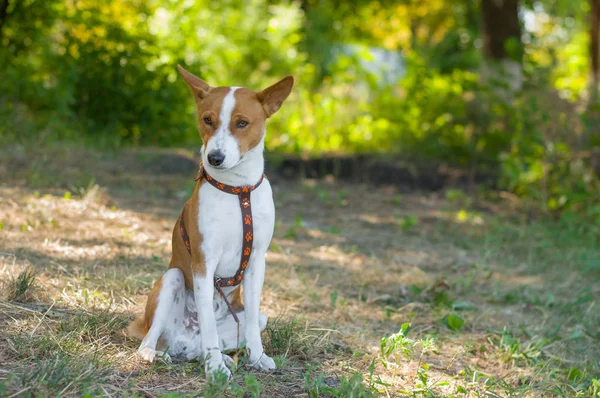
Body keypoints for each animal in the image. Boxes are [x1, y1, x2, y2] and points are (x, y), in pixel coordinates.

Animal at [128, 66, 292, 380]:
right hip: (171, 280)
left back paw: (223, 357)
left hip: (255, 316)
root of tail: (184, 340)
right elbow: (209, 328)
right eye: (207, 120)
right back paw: (156, 354)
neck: (237, 190)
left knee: (206, 343)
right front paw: (215, 367)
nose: (215, 157)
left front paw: (257, 357)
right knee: (155, 338)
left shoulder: (257, 261)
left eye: (242, 123)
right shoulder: (204, 262)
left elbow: (250, 328)